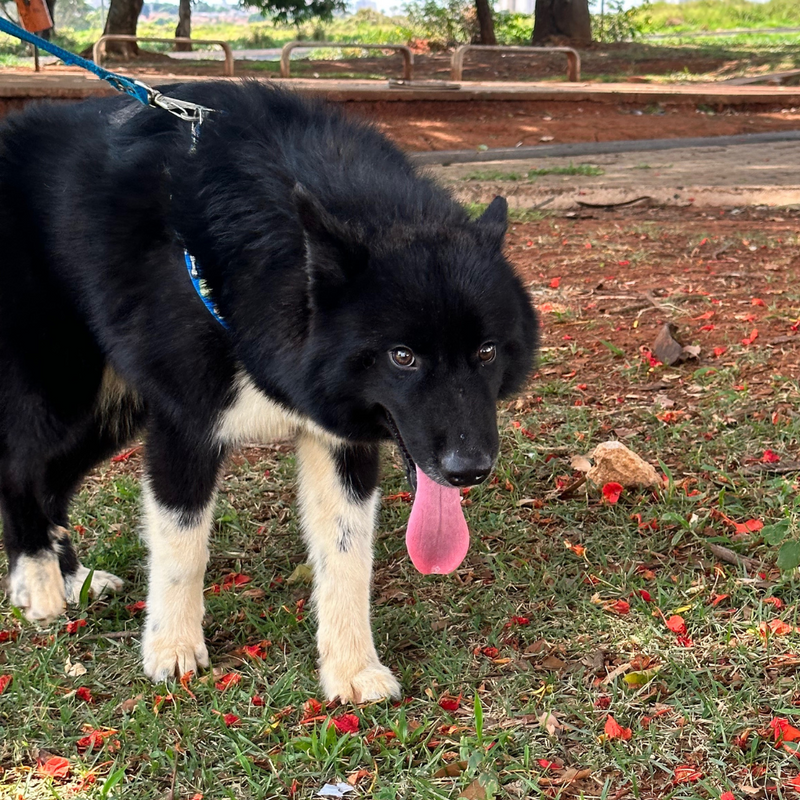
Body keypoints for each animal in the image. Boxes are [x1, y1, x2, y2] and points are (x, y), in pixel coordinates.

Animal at [1, 83, 536, 700]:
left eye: (486, 352)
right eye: (402, 356)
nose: (468, 471)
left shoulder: (339, 439)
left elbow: (347, 555)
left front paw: (352, 668)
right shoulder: (184, 429)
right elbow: (183, 548)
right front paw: (172, 648)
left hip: (111, 412)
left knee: (52, 480)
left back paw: (73, 578)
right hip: (61, 389)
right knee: (20, 468)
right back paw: (38, 581)